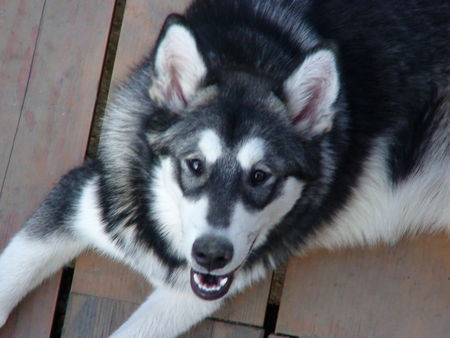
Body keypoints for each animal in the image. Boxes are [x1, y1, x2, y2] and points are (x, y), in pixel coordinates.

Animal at [0, 0, 450, 336]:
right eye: (195, 164)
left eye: (261, 176)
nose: (212, 254)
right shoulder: (83, 196)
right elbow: (11, 275)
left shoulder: (195, 291)